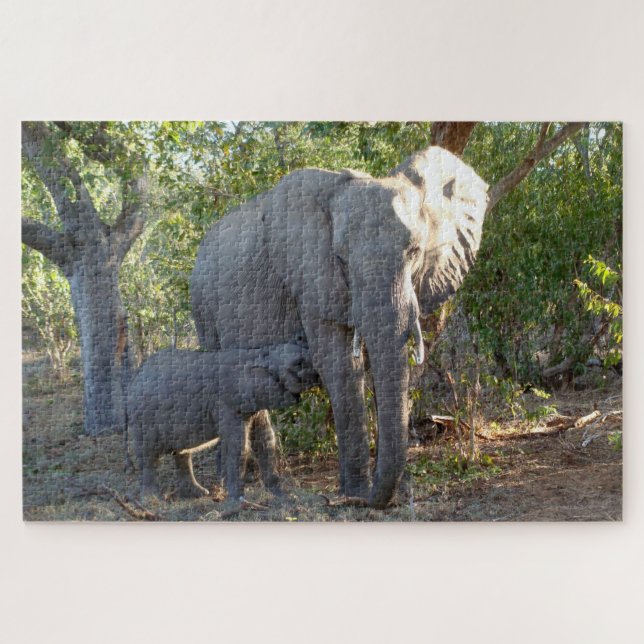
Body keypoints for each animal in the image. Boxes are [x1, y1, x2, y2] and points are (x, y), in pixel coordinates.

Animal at [126, 341, 320, 499]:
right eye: (298, 364)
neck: (258, 354)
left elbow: (265, 440)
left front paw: (282, 495)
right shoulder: (227, 401)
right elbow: (238, 445)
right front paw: (237, 499)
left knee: (182, 454)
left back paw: (198, 494)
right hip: (142, 418)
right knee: (148, 457)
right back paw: (152, 500)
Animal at [191, 146, 489, 507]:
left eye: (415, 252)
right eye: (341, 260)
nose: (375, 501)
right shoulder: (310, 279)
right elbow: (341, 366)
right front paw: (356, 494)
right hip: (203, 305)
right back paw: (258, 491)